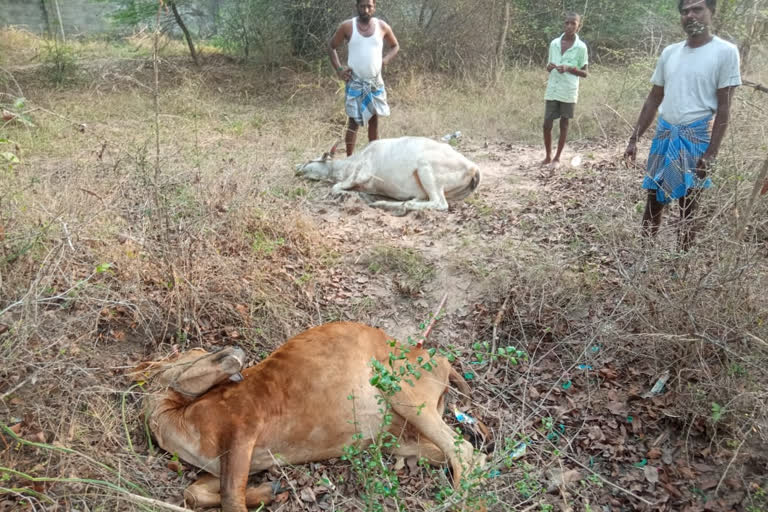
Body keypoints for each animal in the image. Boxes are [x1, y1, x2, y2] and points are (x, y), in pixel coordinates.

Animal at [131, 322, 486, 510]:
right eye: (194, 354)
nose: (235, 351)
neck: (176, 417)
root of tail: (440, 359)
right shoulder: (226, 463)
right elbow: (194, 493)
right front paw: (269, 491)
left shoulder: (242, 430)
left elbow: (231, 497)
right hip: (401, 438)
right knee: (464, 455)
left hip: (405, 396)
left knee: (464, 452)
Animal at [296, 136, 480, 214]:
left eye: (309, 161)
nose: (297, 167)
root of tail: (473, 167)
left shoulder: (363, 174)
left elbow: (335, 187)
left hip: (426, 169)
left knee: (439, 204)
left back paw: (391, 205)